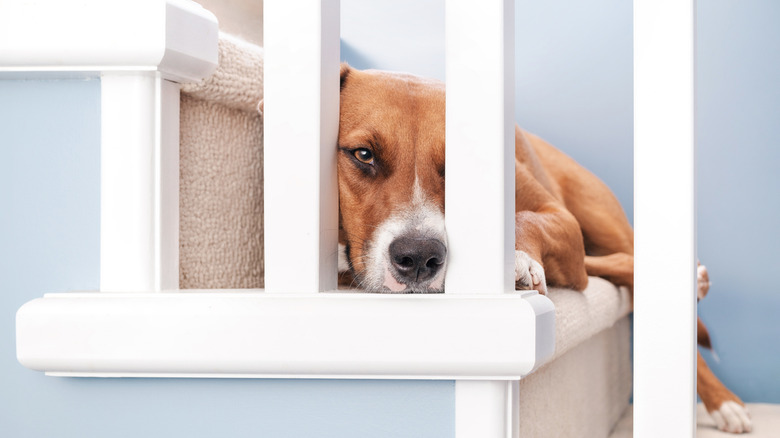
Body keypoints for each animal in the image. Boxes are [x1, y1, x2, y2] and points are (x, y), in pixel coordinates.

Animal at [332, 63, 752, 432]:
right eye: (363, 155)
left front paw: (517, 259)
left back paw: (723, 396)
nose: (419, 257)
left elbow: (527, 218)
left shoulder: (562, 219)